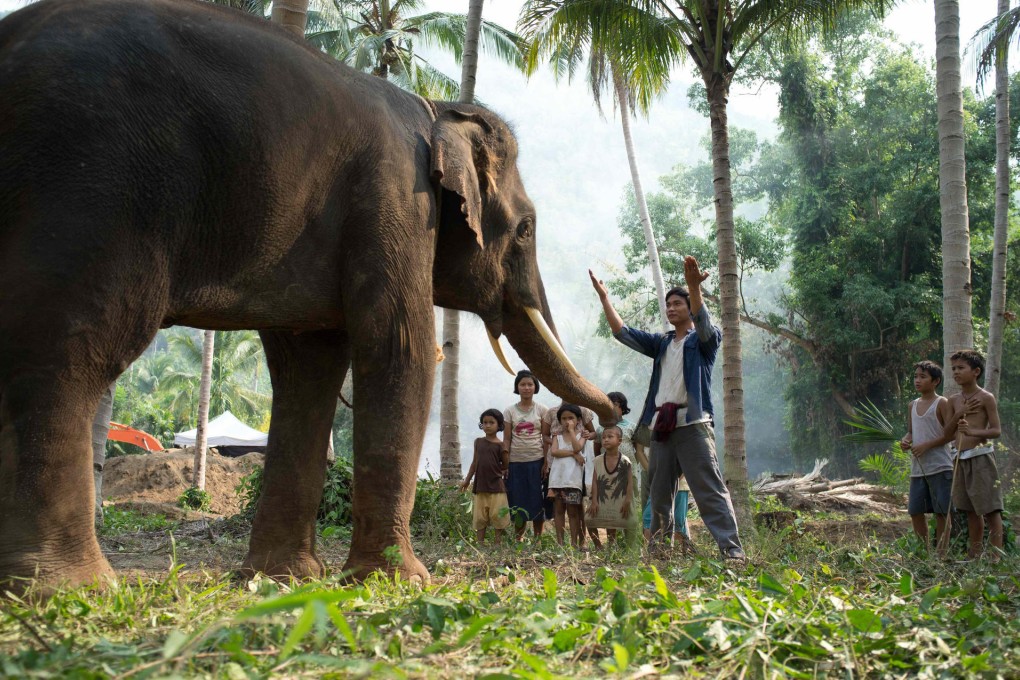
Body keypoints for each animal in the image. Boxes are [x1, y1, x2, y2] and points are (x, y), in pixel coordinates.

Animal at [0, 0, 614, 594]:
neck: (437, 110)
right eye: (527, 229)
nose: (611, 414)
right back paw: (71, 588)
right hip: (94, 183)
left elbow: (308, 367)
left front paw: (282, 578)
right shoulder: (396, 200)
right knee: (73, 349)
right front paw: (397, 581)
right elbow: (401, 351)